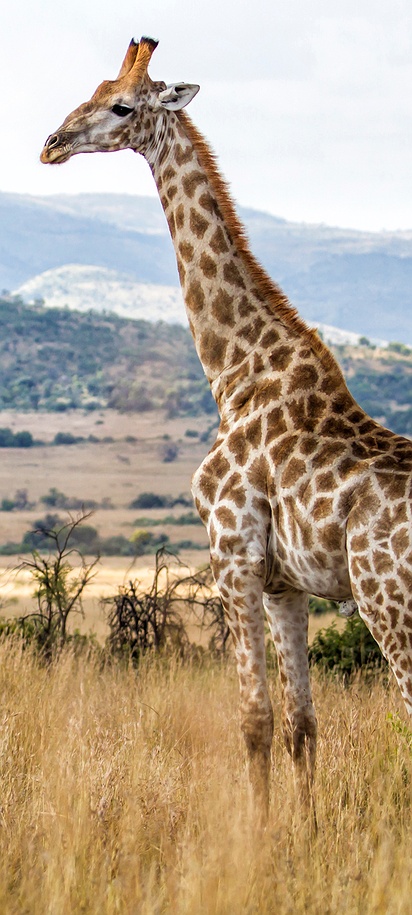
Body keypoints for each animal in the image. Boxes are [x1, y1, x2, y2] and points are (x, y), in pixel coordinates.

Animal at [41, 36, 412, 819]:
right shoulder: (284, 583)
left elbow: (254, 719)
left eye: (123, 106)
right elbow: (303, 722)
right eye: (93, 88)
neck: (236, 374)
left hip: (387, 602)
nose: (51, 143)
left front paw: (259, 835)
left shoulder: (231, 555)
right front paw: (305, 832)